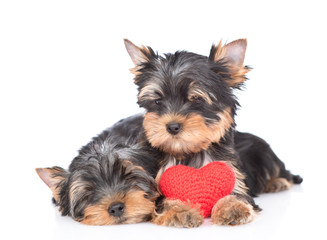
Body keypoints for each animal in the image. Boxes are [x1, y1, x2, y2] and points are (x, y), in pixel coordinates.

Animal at [124, 39, 304, 227]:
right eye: (158, 102)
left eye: (196, 100)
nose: (172, 126)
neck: (190, 152)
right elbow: (164, 201)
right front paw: (180, 211)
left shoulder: (233, 175)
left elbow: (237, 195)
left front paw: (233, 208)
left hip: (264, 153)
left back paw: (277, 182)